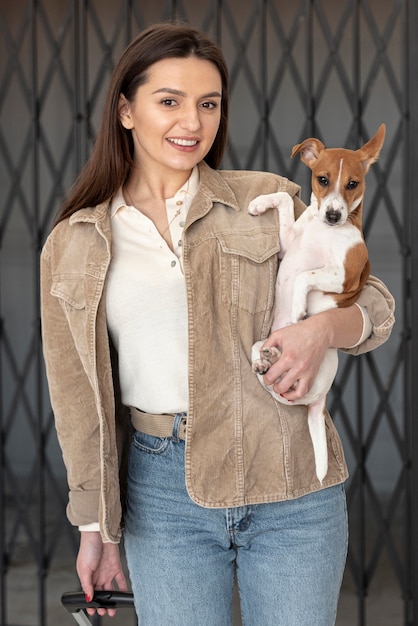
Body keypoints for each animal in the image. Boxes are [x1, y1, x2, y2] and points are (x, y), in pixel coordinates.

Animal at [248, 123, 386, 482]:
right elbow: (284, 199)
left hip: (312, 376)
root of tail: (319, 402)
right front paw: (259, 203)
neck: (325, 231)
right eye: (322, 179)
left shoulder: (342, 276)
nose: (334, 215)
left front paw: (299, 307)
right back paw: (265, 360)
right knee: (261, 362)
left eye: (352, 184)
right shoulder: (287, 246)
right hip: (260, 343)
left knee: (286, 395)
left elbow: (303, 276)